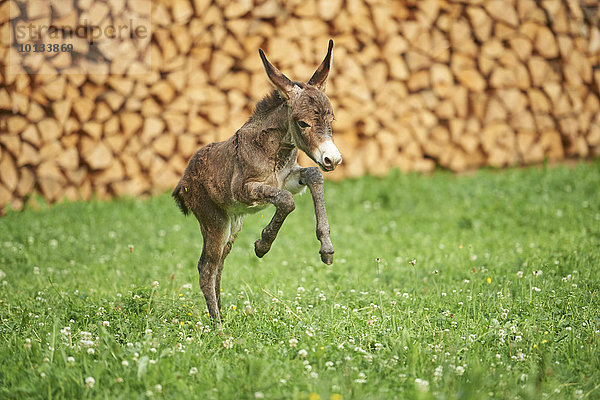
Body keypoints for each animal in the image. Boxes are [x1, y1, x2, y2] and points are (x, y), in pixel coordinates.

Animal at [173, 39, 342, 322]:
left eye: (331, 119)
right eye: (303, 123)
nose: (333, 159)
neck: (274, 149)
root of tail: (182, 184)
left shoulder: (288, 178)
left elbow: (313, 175)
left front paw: (326, 249)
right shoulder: (245, 189)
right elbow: (285, 201)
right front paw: (262, 245)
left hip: (232, 224)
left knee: (218, 265)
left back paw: (221, 314)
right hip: (213, 219)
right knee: (206, 267)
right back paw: (217, 325)